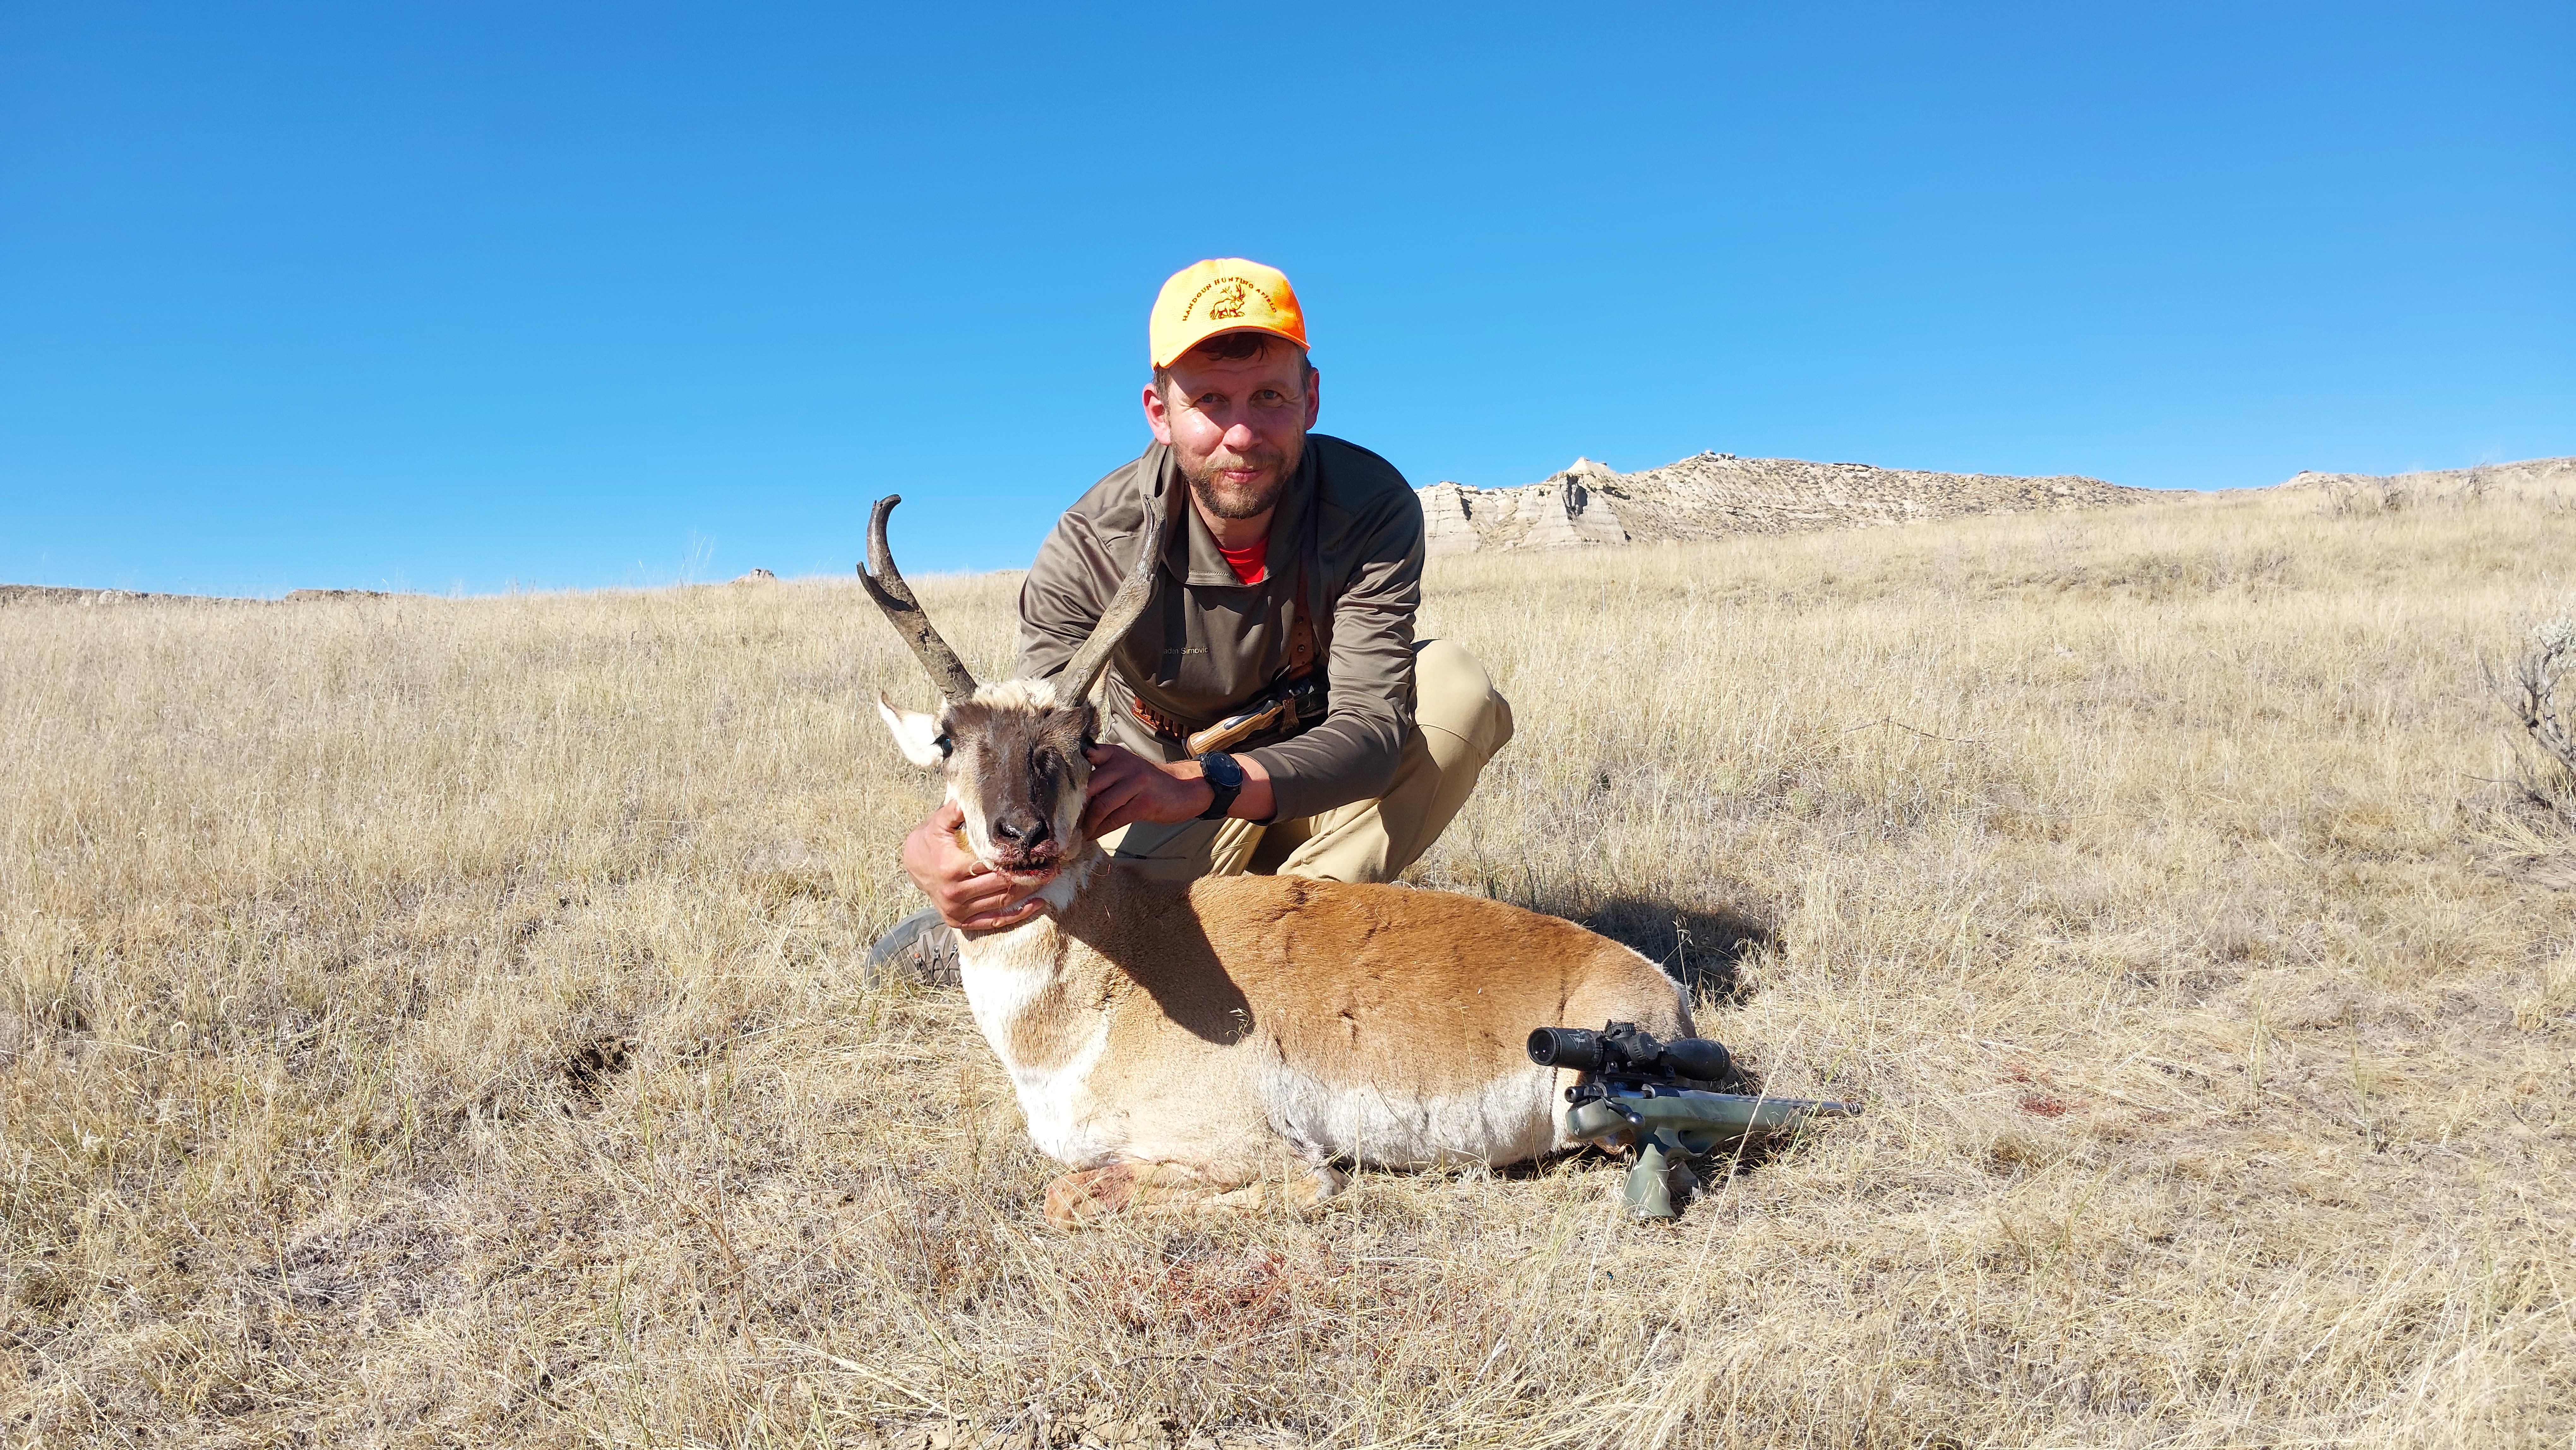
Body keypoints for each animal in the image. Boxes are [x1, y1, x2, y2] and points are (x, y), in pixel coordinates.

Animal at [861, 495, 1690, 1224]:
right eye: (949, 741)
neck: (1116, 968)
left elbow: (1082, 1194)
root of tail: (1655, 982)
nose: (1023, 835)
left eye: (1083, 739)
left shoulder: (1251, 1149)